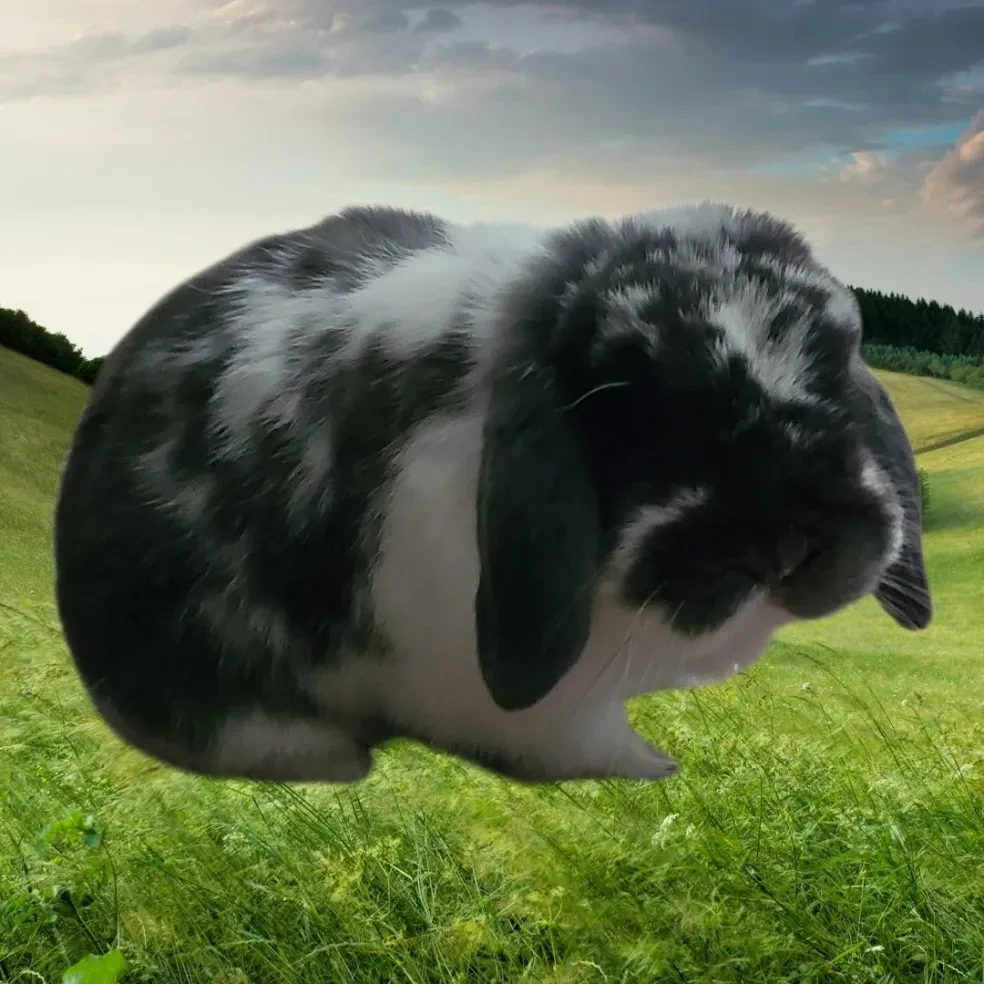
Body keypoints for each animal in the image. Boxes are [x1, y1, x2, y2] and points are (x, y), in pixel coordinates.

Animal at [53, 201, 933, 786]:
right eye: (620, 402)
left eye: (841, 353)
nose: (786, 543)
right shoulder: (533, 705)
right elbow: (569, 743)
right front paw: (655, 767)